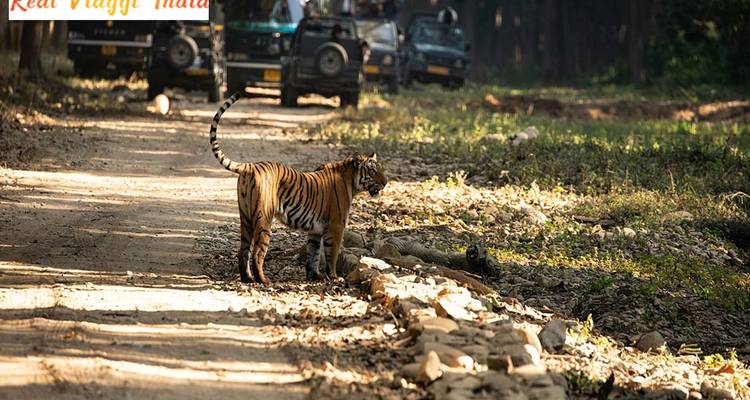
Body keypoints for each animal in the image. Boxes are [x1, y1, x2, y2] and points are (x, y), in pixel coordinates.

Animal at [209, 92, 387, 285]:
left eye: (381, 169)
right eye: (372, 171)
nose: (386, 182)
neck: (351, 181)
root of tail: (250, 166)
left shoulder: (316, 231)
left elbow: (314, 254)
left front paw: (314, 276)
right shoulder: (336, 225)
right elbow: (332, 255)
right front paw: (333, 277)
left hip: (246, 217)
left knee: (243, 251)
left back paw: (247, 278)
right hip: (263, 218)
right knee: (257, 252)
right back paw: (264, 280)